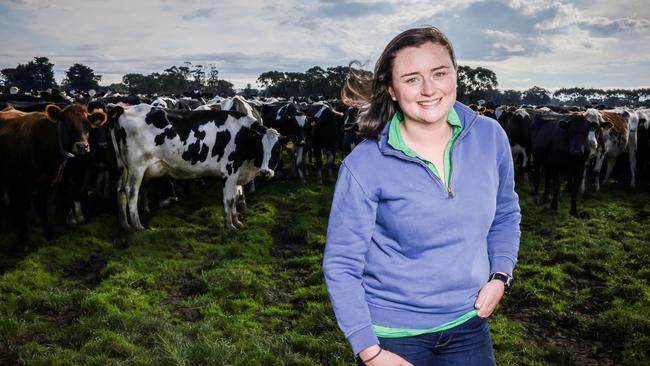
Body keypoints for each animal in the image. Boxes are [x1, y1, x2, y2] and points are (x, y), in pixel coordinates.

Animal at [0, 104, 106, 250]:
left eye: (87, 125)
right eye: (66, 123)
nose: (82, 146)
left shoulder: (53, 181)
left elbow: (49, 209)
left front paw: (50, 238)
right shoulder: (24, 182)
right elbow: (26, 209)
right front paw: (25, 242)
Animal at [107, 102, 282, 229]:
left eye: (276, 149)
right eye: (261, 147)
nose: (266, 172)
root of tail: (123, 110)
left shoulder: (237, 173)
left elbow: (236, 197)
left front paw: (237, 222)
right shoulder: (230, 172)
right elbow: (229, 199)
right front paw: (230, 226)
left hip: (123, 166)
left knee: (120, 190)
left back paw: (124, 224)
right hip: (137, 167)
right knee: (130, 192)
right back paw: (137, 226)